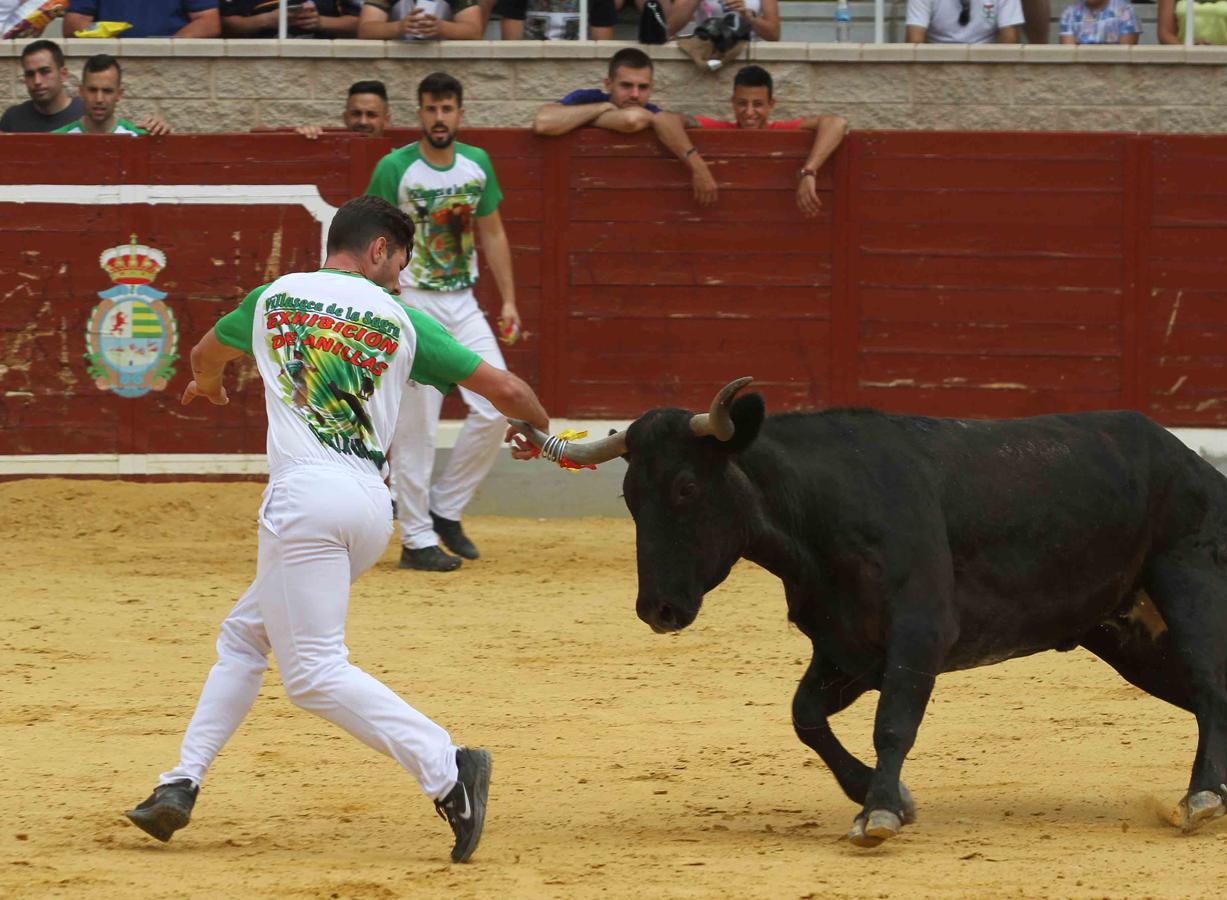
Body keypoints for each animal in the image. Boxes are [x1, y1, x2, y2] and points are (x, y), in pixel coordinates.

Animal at [507, 378, 1227, 844]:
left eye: (685, 487)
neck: (817, 509)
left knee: (1210, 688)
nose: (657, 608)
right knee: (1202, 694)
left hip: (1186, 585)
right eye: (629, 495)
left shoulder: (919, 634)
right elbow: (804, 716)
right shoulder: (844, 645)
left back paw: (1201, 797)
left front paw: (878, 812)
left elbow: (893, 725)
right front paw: (884, 796)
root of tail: (1197, 466)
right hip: (1130, 637)